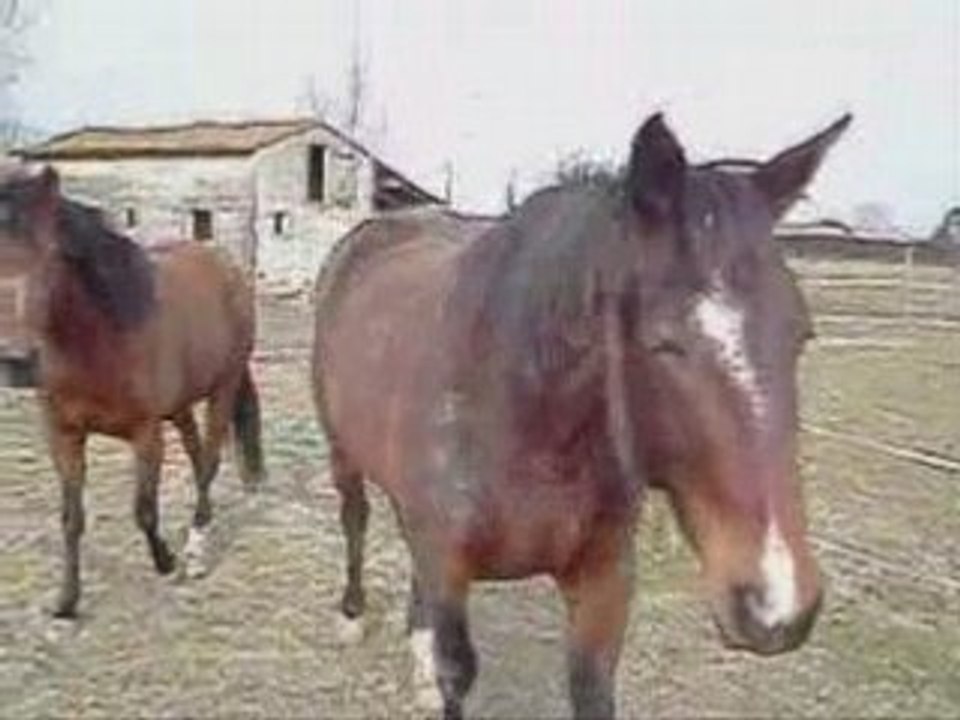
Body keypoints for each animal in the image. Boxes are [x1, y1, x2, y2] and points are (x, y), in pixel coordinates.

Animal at [0, 165, 265, 619]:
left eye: (52, 255)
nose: (17, 362)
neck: (103, 337)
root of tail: (223, 263)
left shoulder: (146, 433)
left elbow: (143, 511)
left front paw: (166, 561)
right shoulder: (64, 435)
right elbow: (71, 517)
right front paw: (67, 600)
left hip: (223, 387)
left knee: (210, 460)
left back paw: (195, 552)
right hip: (180, 405)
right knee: (196, 453)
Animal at [312, 112, 851, 719]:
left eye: (800, 333)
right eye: (663, 343)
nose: (779, 606)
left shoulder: (603, 586)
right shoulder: (450, 570)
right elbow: (456, 673)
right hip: (342, 452)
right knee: (355, 518)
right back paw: (352, 615)